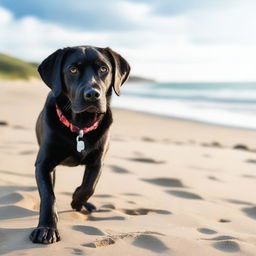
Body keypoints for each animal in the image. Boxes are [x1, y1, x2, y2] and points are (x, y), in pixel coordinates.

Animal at [29, 46, 130, 244]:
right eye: (73, 70)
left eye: (104, 69)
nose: (92, 94)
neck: (81, 126)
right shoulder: (44, 164)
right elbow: (48, 195)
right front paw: (47, 228)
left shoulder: (98, 161)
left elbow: (89, 186)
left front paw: (77, 200)